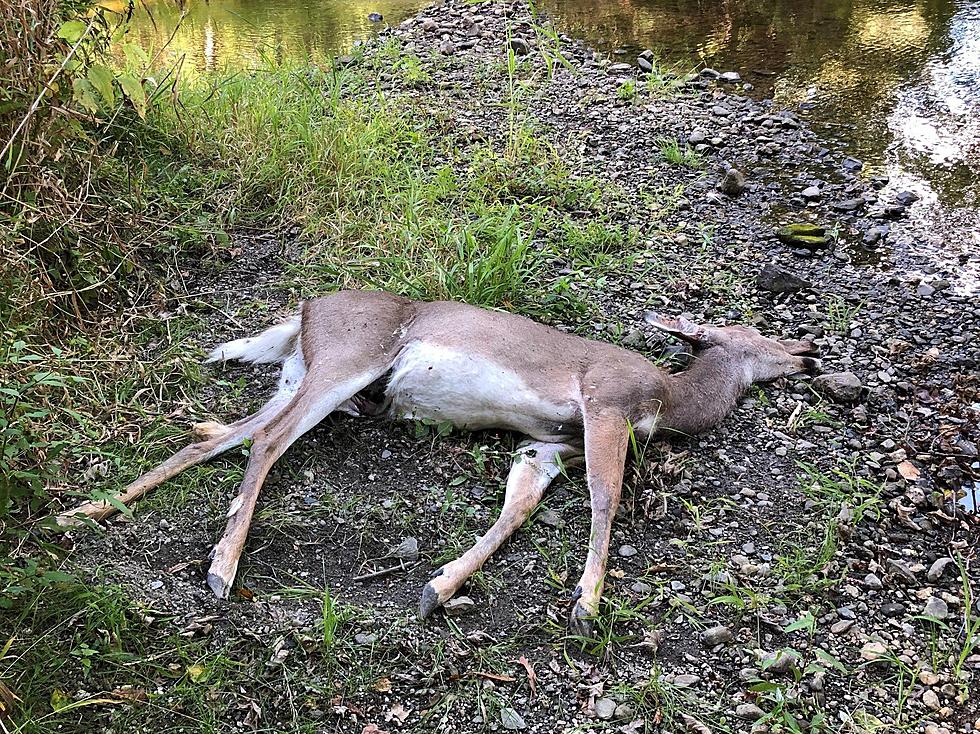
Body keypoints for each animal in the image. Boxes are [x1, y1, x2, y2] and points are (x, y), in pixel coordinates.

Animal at [57, 290, 816, 628]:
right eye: (757, 332)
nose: (810, 352)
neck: (671, 395)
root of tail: (304, 311)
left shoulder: (551, 442)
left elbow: (518, 507)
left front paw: (438, 586)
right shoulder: (606, 403)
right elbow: (607, 500)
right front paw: (586, 603)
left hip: (300, 375)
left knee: (220, 434)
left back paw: (82, 511)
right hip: (350, 361)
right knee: (267, 442)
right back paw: (220, 569)